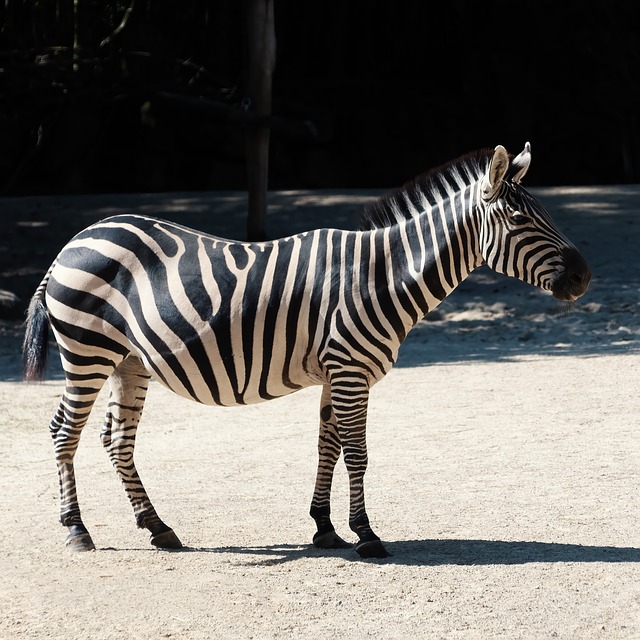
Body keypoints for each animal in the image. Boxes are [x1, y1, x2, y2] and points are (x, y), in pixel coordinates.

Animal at [21, 142, 592, 556]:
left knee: (116, 440)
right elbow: (358, 453)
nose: (583, 278)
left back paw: (158, 528)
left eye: (543, 212)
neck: (380, 275)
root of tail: (77, 239)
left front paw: (324, 528)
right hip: (87, 352)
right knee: (64, 433)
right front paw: (367, 536)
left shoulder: (336, 373)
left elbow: (327, 448)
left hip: (129, 361)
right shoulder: (350, 370)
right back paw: (77, 531)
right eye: (519, 221)